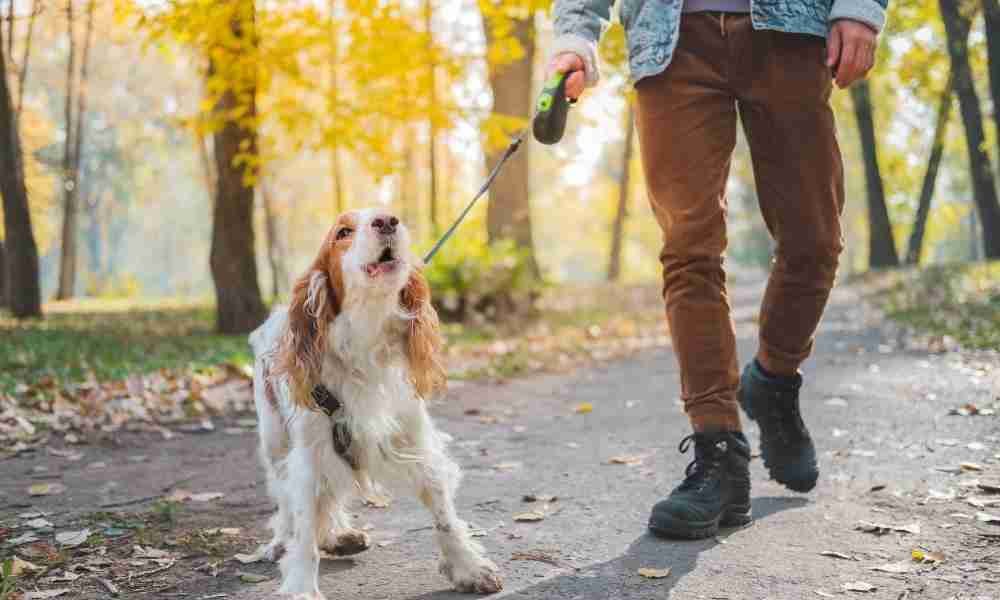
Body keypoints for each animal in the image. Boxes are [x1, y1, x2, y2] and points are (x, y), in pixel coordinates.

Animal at [248, 209, 500, 596]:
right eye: (343, 232)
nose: (387, 221)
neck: (365, 338)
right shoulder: (309, 454)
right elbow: (304, 528)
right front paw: (302, 585)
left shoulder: (414, 439)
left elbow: (443, 514)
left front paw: (468, 567)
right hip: (275, 441)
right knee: (286, 503)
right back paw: (283, 541)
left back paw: (338, 535)